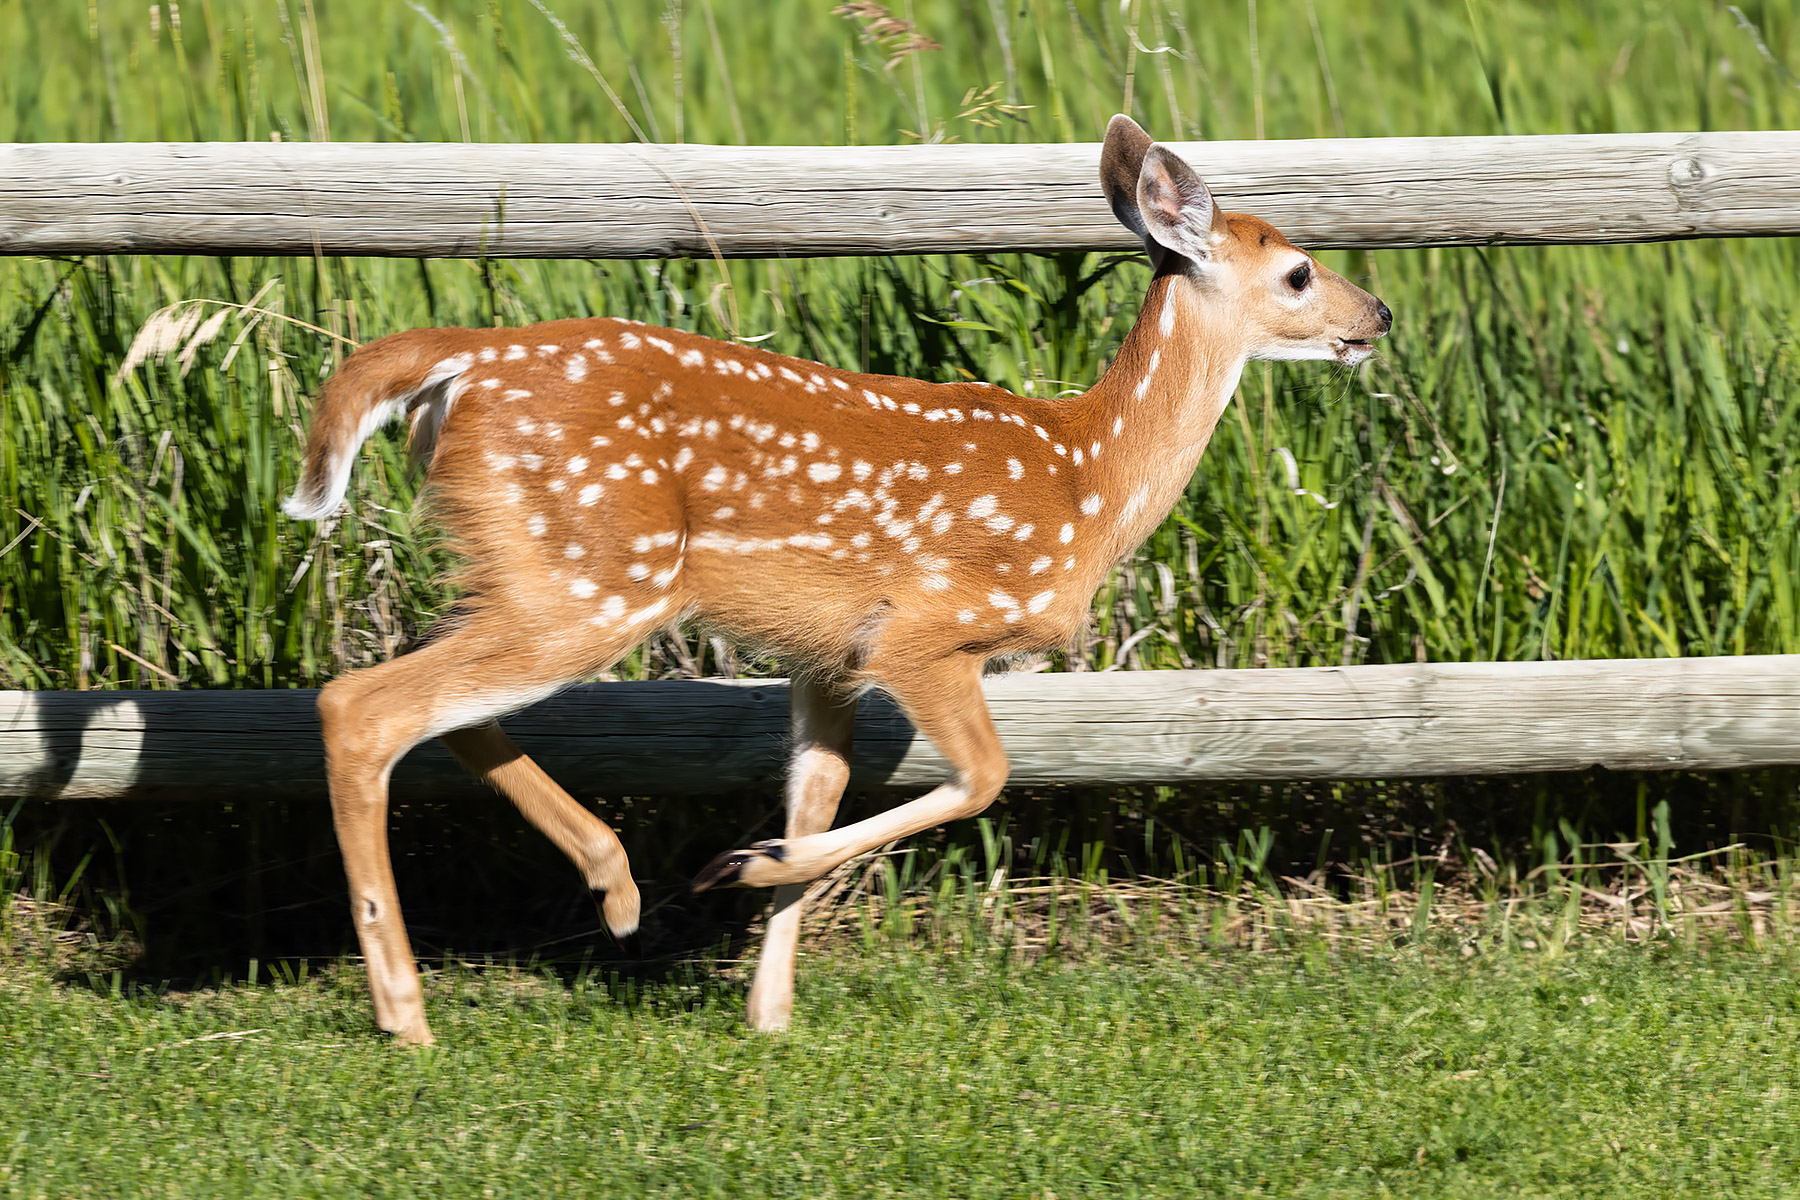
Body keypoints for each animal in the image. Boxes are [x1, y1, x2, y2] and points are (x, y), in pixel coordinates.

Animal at [281, 115, 1390, 1045]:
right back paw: (406, 1012)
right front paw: (742, 868)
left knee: (437, 705)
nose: (1377, 312)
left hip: (526, 569)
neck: (1090, 482)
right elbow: (983, 778)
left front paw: (768, 1007)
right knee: (361, 704)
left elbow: (814, 793)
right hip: (596, 575)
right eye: (1298, 273)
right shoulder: (926, 630)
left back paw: (615, 885)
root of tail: (460, 363)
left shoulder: (829, 655)